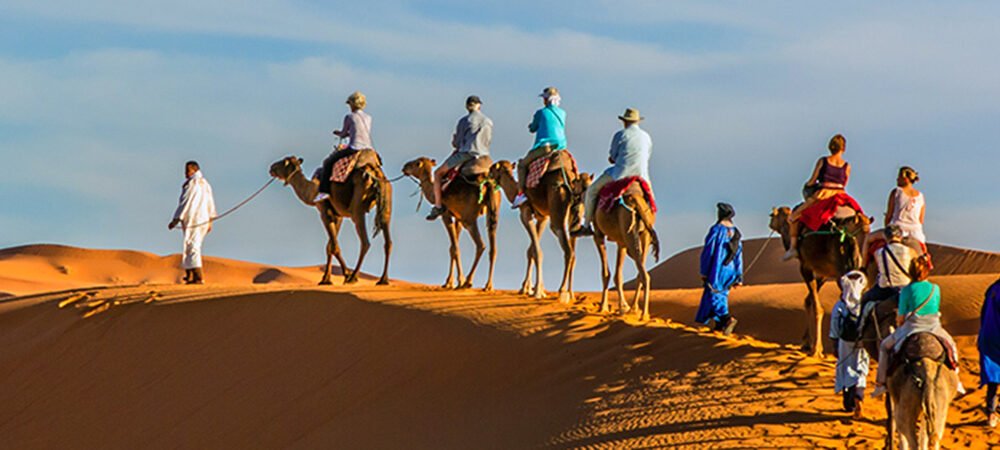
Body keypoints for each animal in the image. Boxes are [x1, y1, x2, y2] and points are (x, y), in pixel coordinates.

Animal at [268, 156, 392, 284]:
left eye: (283, 162)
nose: (271, 167)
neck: (313, 191)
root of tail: (376, 173)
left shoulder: (324, 212)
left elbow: (334, 246)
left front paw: (346, 274)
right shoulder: (338, 216)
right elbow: (329, 246)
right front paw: (325, 279)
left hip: (358, 207)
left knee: (365, 242)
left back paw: (353, 277)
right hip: (386, 201)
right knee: (388, 240)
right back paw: (383, 280)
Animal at [402, 156, 500, 290]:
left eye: (415, 163)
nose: (404, 167)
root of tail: (487, 184)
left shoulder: (446, 215)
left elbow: (454, 248)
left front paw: (458, 281)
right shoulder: (458, 218)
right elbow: (452, 247)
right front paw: (449, 282)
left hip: (469, 219)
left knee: (481, 245)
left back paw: (468, 282)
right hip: (492, 212)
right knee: (493, 248)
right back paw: (488, 285)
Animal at [490, 156, 584, 304]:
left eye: (493, 168)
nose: (487, 172)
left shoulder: (525, 212)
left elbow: (537, 252)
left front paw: (537, 291)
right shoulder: (543, 217)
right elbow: (531, 251)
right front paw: (527, 288)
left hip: (557, 211)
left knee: (568, 250)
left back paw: (562, 292)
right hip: (575, 217)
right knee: (573, 250)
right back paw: (571, 293)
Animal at [588, 178, 660, 318]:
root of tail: (636, 200)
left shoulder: (598, 234)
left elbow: (606, 273)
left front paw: (604, 307)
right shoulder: (621, 243)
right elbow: (618, 275)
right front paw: (624, 307)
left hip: (629, 228)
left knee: (643, 273)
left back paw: (643, 314)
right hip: (643, 234)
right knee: (641, 270)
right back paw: (635, 309)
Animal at [768, 207, 872, 358]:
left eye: (772, 215)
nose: (770, 223)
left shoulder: (806, 267)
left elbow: (818, 307)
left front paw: (816, 349)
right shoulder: (824, 274)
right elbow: (808, 300)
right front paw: (806, 342)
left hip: (844, 272)